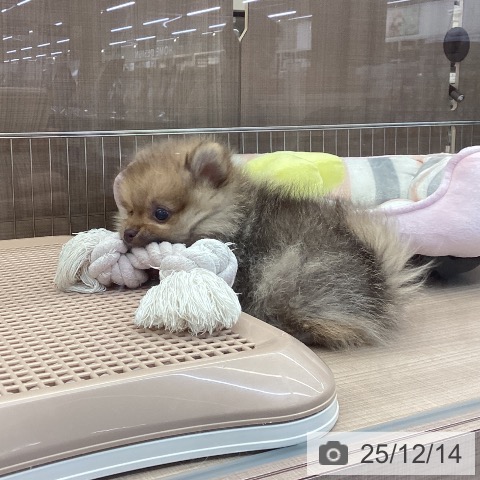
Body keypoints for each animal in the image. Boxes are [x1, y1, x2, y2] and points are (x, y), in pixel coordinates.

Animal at [114, 137, 427, 348]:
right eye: (128, 210)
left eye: (161, 214)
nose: (127, 233)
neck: (230, 214)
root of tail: (380, 284)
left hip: (286, 275)